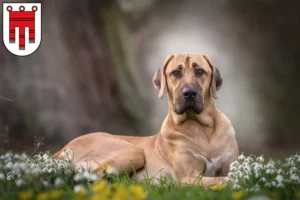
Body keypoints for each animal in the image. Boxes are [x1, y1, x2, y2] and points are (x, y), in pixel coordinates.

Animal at [54, 53, 239, 186]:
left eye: (200, 71)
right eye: (176, 72)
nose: (189, 93)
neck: (201, 129)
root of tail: (62, 148)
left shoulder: (228, 165)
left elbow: (228, 175)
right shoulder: (189, 178)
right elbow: (224, 179)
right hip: (132, 151)